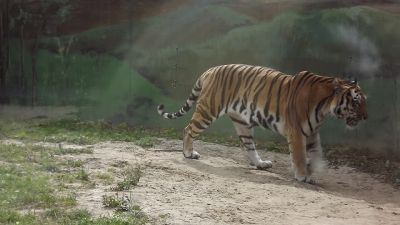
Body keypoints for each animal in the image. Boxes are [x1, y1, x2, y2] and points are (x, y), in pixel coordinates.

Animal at [155, 64, 366, 184]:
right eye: (356, 102)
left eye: (365, 101)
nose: (365, 117)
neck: (325, 108)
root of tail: (210, 70)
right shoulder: (297, 132)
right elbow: (299, 156)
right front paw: (303, 176)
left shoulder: (313, 133)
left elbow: (316, 153)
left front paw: (315, 170)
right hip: (209, 110)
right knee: (188, 128)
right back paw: (188, 153)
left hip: (242, 122)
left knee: (249, 146)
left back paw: (260, 164)